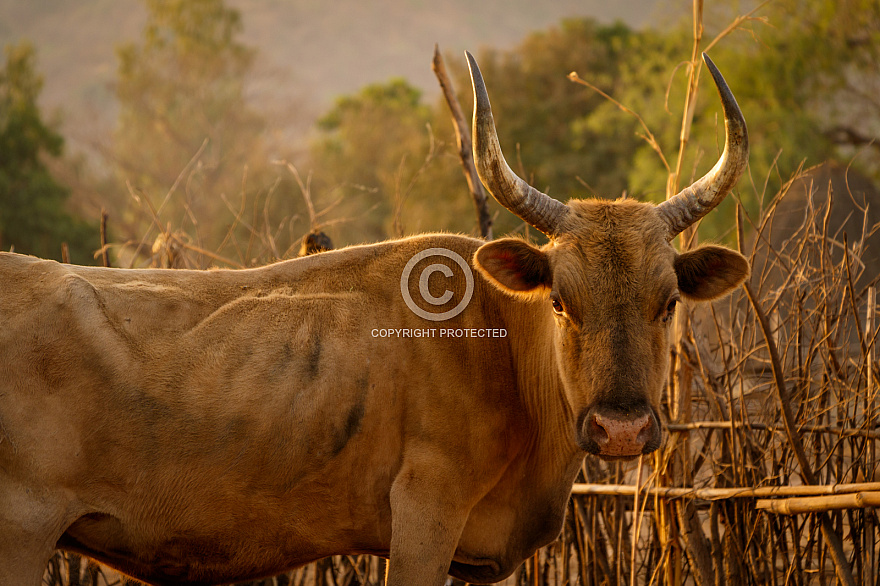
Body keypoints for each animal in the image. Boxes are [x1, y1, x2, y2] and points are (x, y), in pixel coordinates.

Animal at [0, 51, 748, 584]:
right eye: (562, 301)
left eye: (668, 302)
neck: (499, 348)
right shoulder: (423, 520)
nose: (620, 430)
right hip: (21, 533)